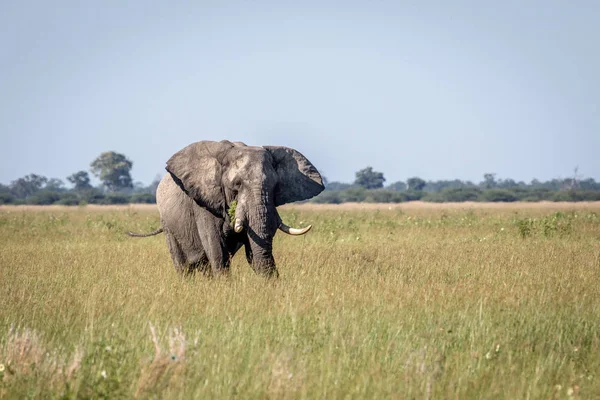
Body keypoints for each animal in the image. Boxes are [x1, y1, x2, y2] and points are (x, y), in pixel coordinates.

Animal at [126, 141, 324, 278]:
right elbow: (217, 251)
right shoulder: (204, 204)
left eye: (275, 186)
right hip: (169, 225)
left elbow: (253, 250)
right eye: (236, 185)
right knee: (183, 265)